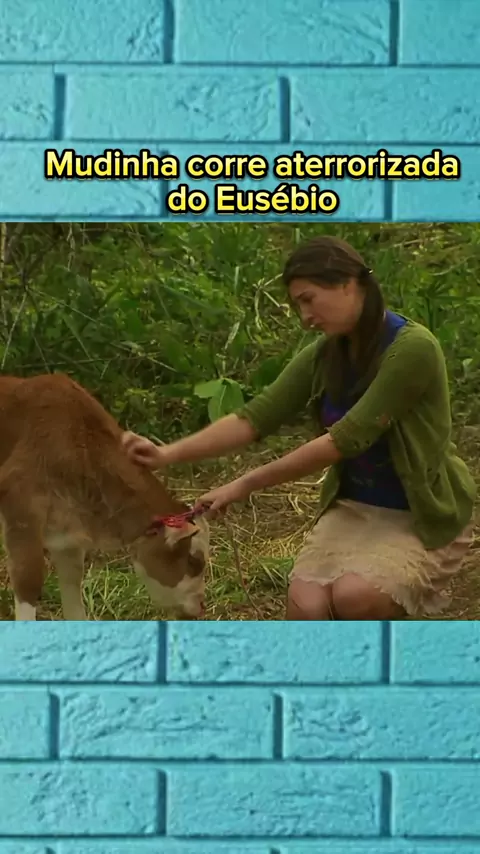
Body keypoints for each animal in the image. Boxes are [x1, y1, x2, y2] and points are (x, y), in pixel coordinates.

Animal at [0, 373, 209, 621]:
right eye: (194, 560)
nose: (201, 605)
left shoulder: (67, 538)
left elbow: (73, 596)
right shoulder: (21, 514)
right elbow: (28, 584)